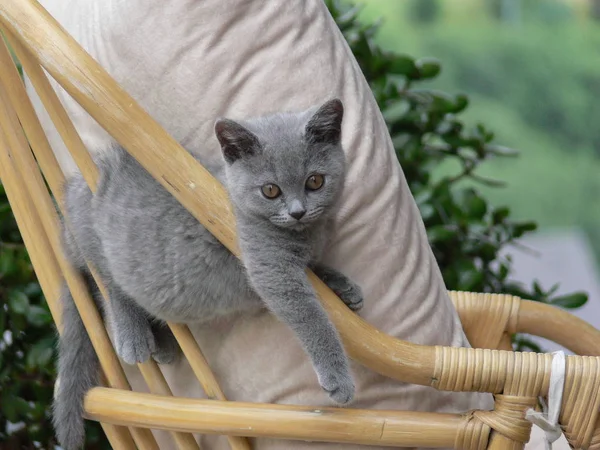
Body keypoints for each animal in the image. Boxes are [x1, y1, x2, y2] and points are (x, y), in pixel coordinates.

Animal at [54, 99, 364, 450]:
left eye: (315, 181)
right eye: (270, 190)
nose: (297, 211)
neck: (307, 233)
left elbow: (317, 272)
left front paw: (342, 286)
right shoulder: (270, 267)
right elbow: (310, 315)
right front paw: (338, 378)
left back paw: (162, 345)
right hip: (93, 233)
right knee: (108, 282)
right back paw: (134, 336)